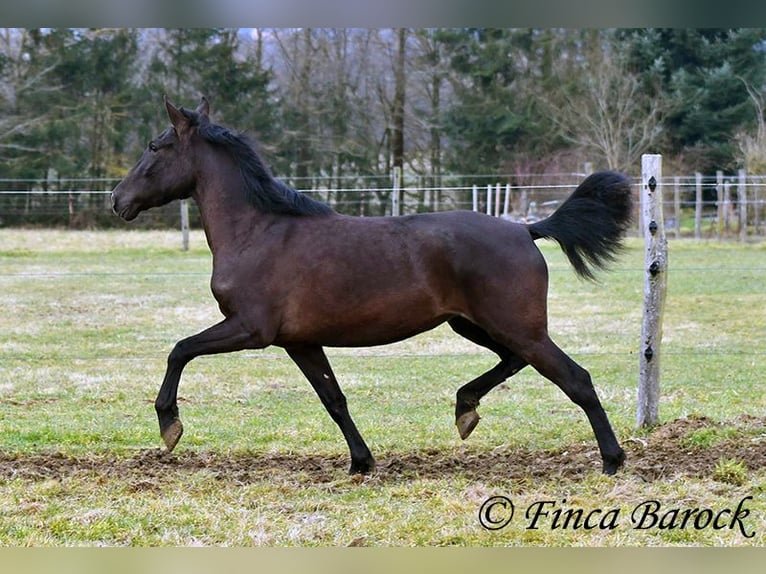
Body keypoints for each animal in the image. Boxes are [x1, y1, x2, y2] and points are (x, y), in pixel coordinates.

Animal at [111, 99, 632, 476]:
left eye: (155, 147)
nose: (118, 199)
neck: (259, 231)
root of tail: (526, 229)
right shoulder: (300, 341)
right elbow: (334, 399)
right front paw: (361, 463)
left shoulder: (249, 329)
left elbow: (180, 349)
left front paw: (170, 426)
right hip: (475, 325)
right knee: (514, 361)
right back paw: (465, 409)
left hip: (515, 327)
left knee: (575, 379)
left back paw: (612, 460)